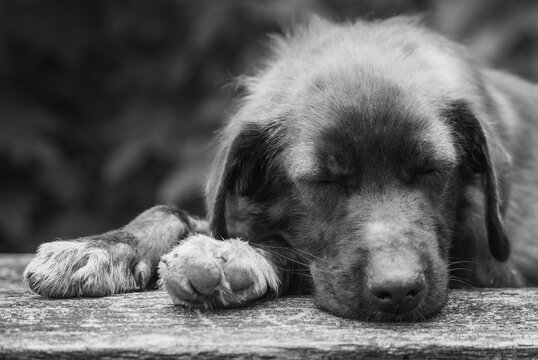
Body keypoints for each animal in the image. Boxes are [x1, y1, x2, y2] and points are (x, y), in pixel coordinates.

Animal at [23, 16, 536, 320]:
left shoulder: (488, 266)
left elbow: (291, 251)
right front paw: (99, 247)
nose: (398, 292)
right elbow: (170, 212)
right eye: (324, 180)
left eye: (431, 171)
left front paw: (232, 258)